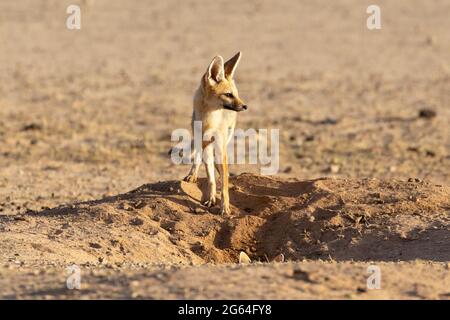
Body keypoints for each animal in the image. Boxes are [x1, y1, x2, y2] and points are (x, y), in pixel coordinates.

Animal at [183, 52, 248, 215]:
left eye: (236, 94)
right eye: (228, 94)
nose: (245, 106)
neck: (210, 120)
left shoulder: (219, 146)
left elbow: (223, 184)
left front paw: (224, 207)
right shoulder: (204, 142)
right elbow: (210, 177)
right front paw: (211, 197)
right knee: (199, 157)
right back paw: (192, 174)